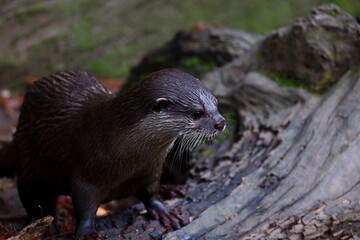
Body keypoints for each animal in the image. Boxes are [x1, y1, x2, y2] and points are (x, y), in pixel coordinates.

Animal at [0, 68, 225, 237]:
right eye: (197, 113)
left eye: (216, 103)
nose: (220, 122)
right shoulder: (86, 171)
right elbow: (84, 205)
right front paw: (86, 232)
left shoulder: (151, 169)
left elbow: (150, 192)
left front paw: (163, 210)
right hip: (30, 165)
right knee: (32, 197)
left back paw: (169, 189)